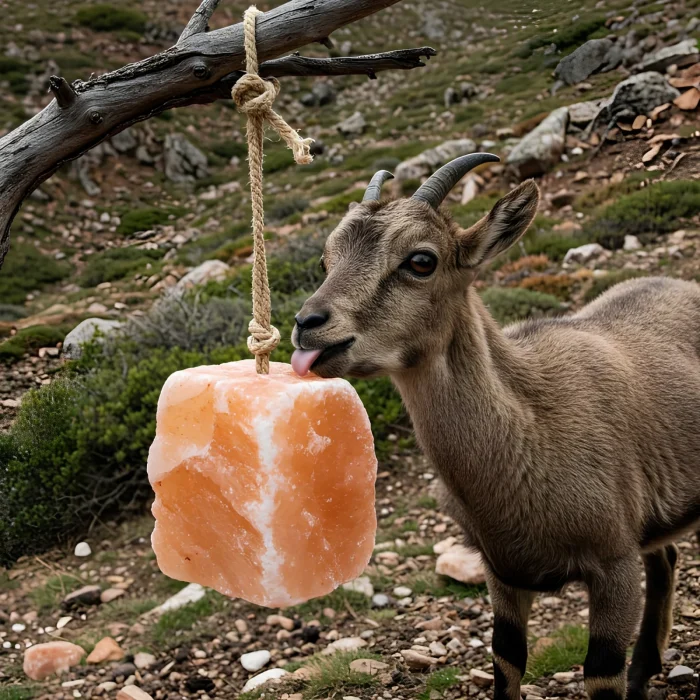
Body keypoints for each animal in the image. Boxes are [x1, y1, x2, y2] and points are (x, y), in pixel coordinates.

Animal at [291, 154, 700, 700]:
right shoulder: (502, 571)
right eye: (325, 260)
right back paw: (644, 673)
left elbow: (601, 671)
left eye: (421, 260)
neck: (532, 431)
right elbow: (506, 660)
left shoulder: (613, 562)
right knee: (666, 555)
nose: (308, 324)